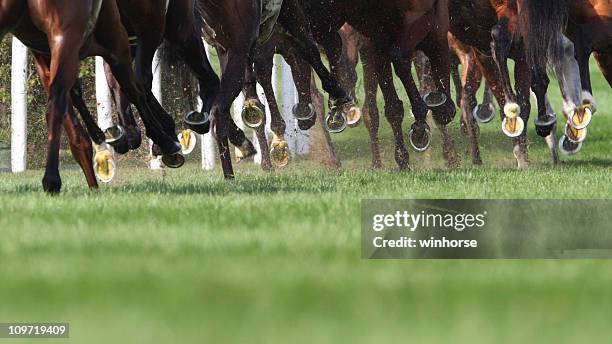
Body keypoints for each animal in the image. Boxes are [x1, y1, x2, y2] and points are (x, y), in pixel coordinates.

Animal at [0, 0, 183, 192]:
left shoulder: (44, 55)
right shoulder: (118, 39)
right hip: (70, 35)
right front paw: (163, 140)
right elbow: (134, 89)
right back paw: (53, 178)